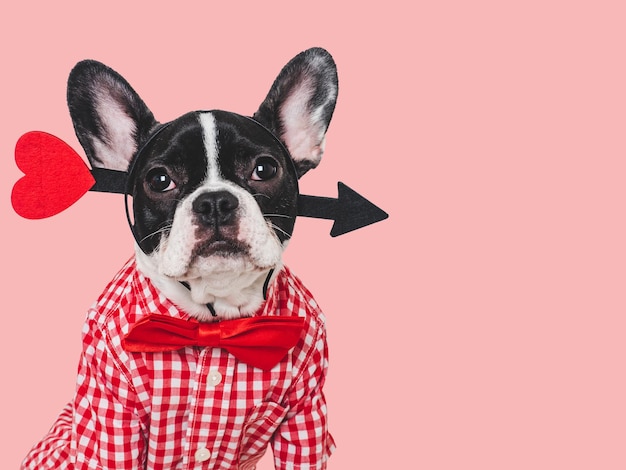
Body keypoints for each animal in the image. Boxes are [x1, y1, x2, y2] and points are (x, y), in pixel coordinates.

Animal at [20, 46, 336, 470]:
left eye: (265, 169)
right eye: (159, 180)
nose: (215, 201)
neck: (216, 319)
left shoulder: (305, 415)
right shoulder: (111, 416)